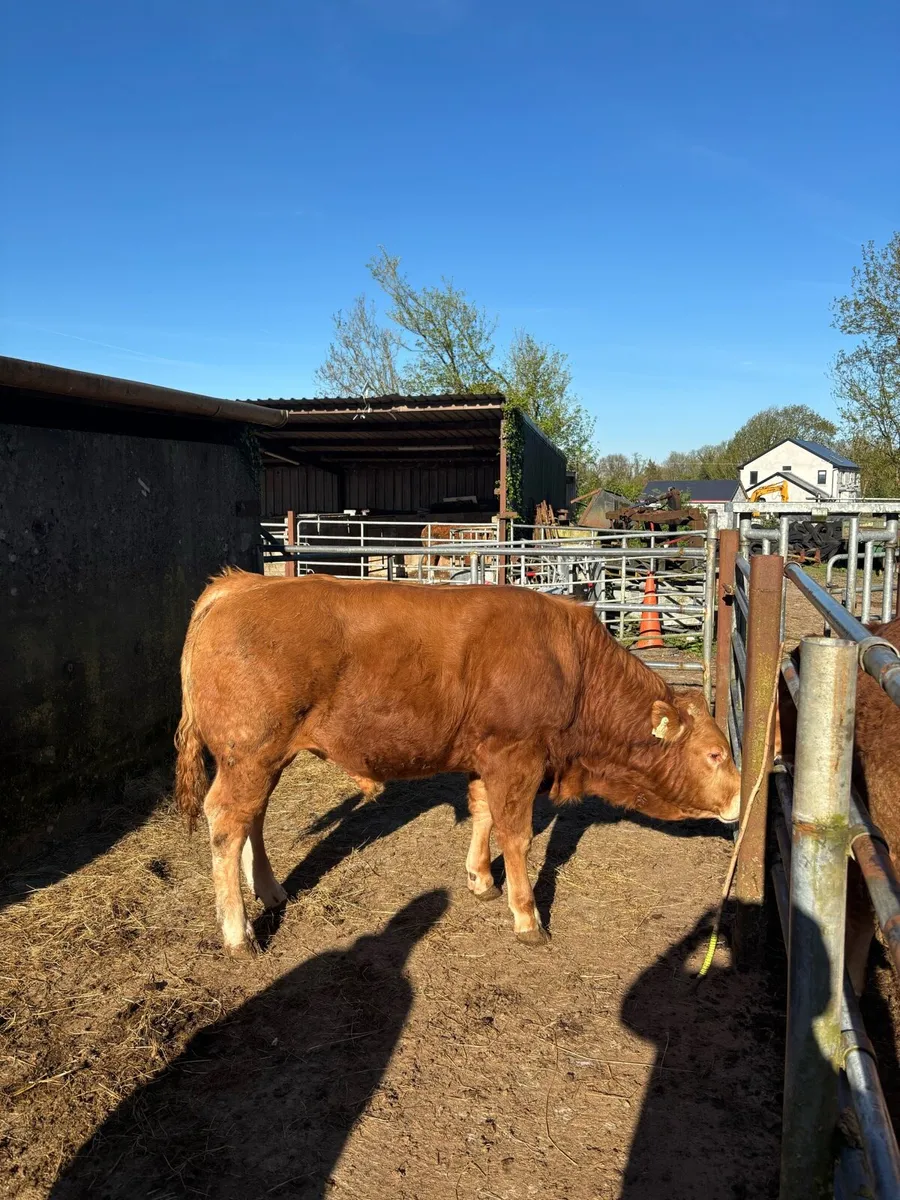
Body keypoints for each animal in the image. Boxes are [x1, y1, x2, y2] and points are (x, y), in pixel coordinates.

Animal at [175, 570, 741, 956]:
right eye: (714, 754)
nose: (741, 798)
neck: (572, 664)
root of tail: (240, 585)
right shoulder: (517, 756)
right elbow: (516, 834)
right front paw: (527, 916)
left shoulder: (487, 755)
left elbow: (483, 812)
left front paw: (481, 879)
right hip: (249, 752)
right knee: (227, 821)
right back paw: (238, 933)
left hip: (263, 756)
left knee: (252, 819)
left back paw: (271, 891)